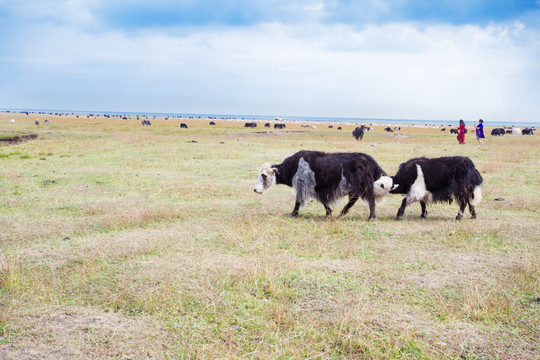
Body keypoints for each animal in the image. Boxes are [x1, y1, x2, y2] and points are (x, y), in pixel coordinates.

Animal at [253, 150, 392, 221]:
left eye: (264, 175)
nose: (255, 189)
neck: (294, 166)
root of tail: (371, 161)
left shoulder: (303, 186)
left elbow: (298, 201)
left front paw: (293, 214)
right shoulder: (316, 188)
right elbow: (323, 201)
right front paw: (328, 213)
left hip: (364, 185)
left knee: (370, 200)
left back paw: (371, 217)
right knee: (354, 199)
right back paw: (342, 213)